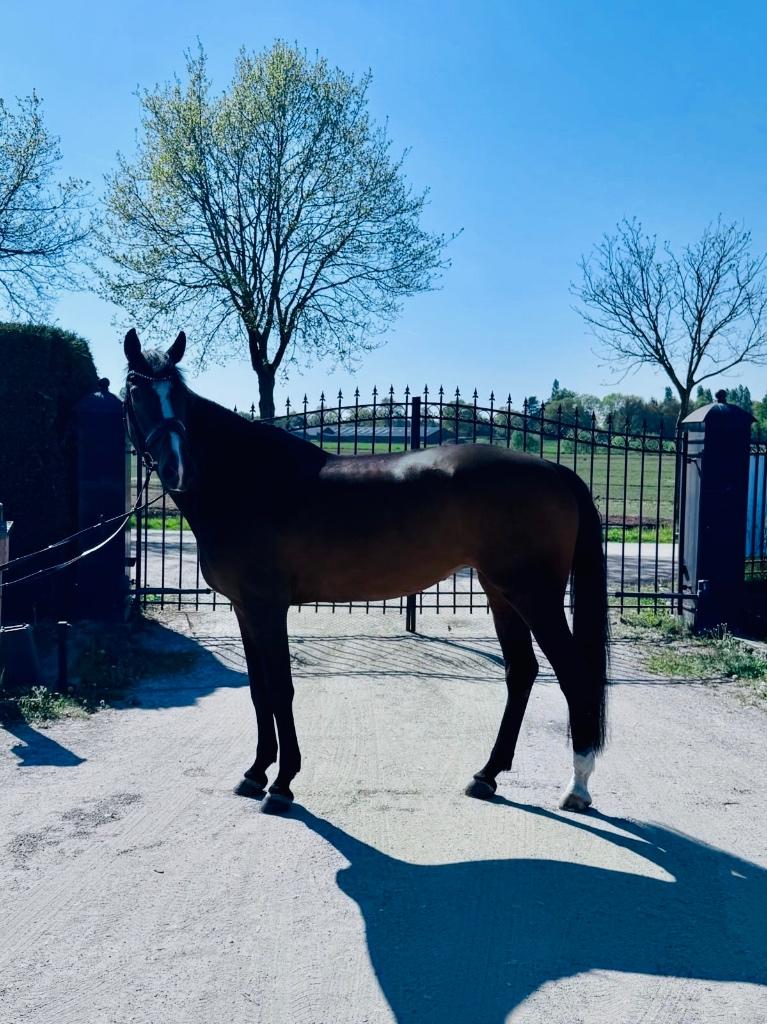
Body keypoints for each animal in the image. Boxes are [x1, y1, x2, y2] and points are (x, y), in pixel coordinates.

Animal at [123, 329, 609, 815]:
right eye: (136, 391)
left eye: (178, 396)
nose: (177, 468)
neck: (247, 480)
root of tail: (553, 469)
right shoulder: (245, 609)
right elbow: (259, 690)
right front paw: (256, 772)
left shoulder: (267, 608)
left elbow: (281, 688)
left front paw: (282, 783)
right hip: (500, 593)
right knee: (521, 671)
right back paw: (486, 775)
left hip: (534, 596)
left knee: (572, 674)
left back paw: (578, 787)